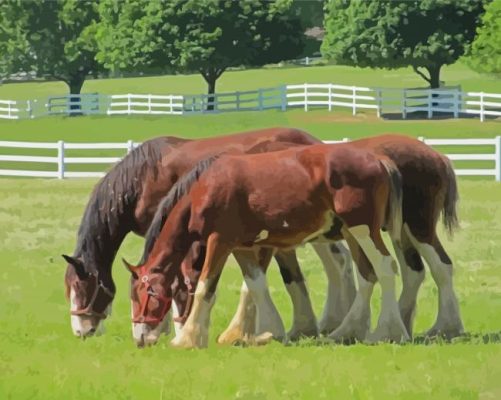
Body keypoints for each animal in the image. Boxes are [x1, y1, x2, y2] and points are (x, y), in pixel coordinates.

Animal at [62, 127, 346, 338]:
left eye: (80, 286)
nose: (81, 331)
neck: (144, 177)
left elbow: (179, 282)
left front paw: (177, 328)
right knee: (339, 259)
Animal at [126, 143, 406, 346]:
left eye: (145, 294)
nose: (140, 338)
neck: (207, 186)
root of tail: (378, 159)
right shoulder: (241, 246)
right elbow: (255, 284)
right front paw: (268, 331)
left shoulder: (220, 241)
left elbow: (206, 286)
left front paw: (188, 339)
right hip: (352, 233)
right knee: (367, 274)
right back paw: (347, 331)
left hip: (363, 231)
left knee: (385, 267)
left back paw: (388, 332)